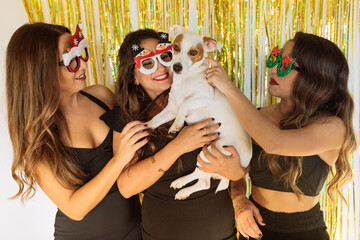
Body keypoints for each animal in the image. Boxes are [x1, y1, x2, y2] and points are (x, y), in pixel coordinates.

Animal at [145, 25, 252, 200]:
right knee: (202, 179)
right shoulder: (171, 108)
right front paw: (144, 126)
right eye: (175, 47)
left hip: (212, 150)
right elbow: (156, 119)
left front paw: (176, 125)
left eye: (194, 52)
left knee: (204, 180)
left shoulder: (204, 98)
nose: (177, 67)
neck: (185, 79)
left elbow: (185, 105)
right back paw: (182, 185)